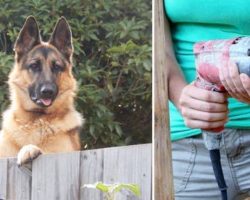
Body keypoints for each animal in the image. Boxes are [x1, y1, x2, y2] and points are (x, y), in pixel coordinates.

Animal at [0, 16, 84, 166]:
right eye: (34, 66)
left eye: (57, 67)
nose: (48, 91)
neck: (35, 120)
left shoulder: (61, 154)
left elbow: (43, 150)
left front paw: (28, 149)